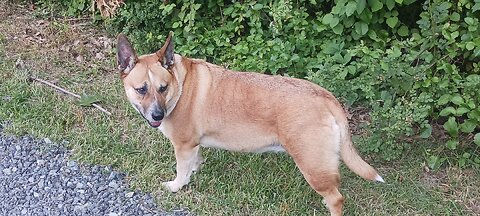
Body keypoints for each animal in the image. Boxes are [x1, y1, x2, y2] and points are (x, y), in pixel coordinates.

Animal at [118, 31, 384, 215]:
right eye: (141, 89)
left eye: (163, 88)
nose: (157, 116)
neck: (180, 85)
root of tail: (326, 96)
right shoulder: (193, 145)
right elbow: (194, 161)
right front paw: (195, 169)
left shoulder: (182, 146)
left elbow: (181, 173)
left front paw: (176, 186)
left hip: (313, 165)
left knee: (336, 198)